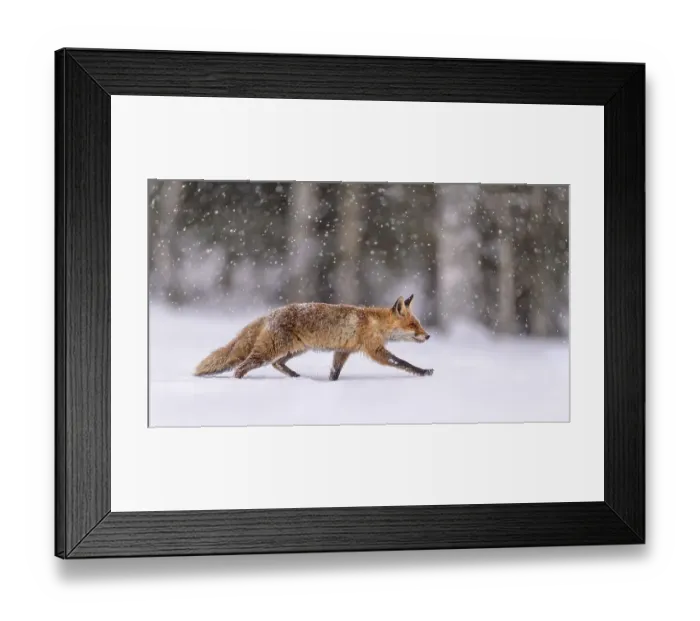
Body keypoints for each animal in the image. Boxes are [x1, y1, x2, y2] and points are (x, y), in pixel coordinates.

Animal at [194, 294, 433, 380]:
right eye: (413, 325)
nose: (428, 335)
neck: (374, 322)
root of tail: (270, 314)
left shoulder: (342, 351)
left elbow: (335, 372)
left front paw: (331, 385)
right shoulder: (375, 350)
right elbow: (402, 362)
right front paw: (423, 371)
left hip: (296, 350)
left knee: (277, 364)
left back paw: (297, 378)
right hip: (271, 350)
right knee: (241, 368)